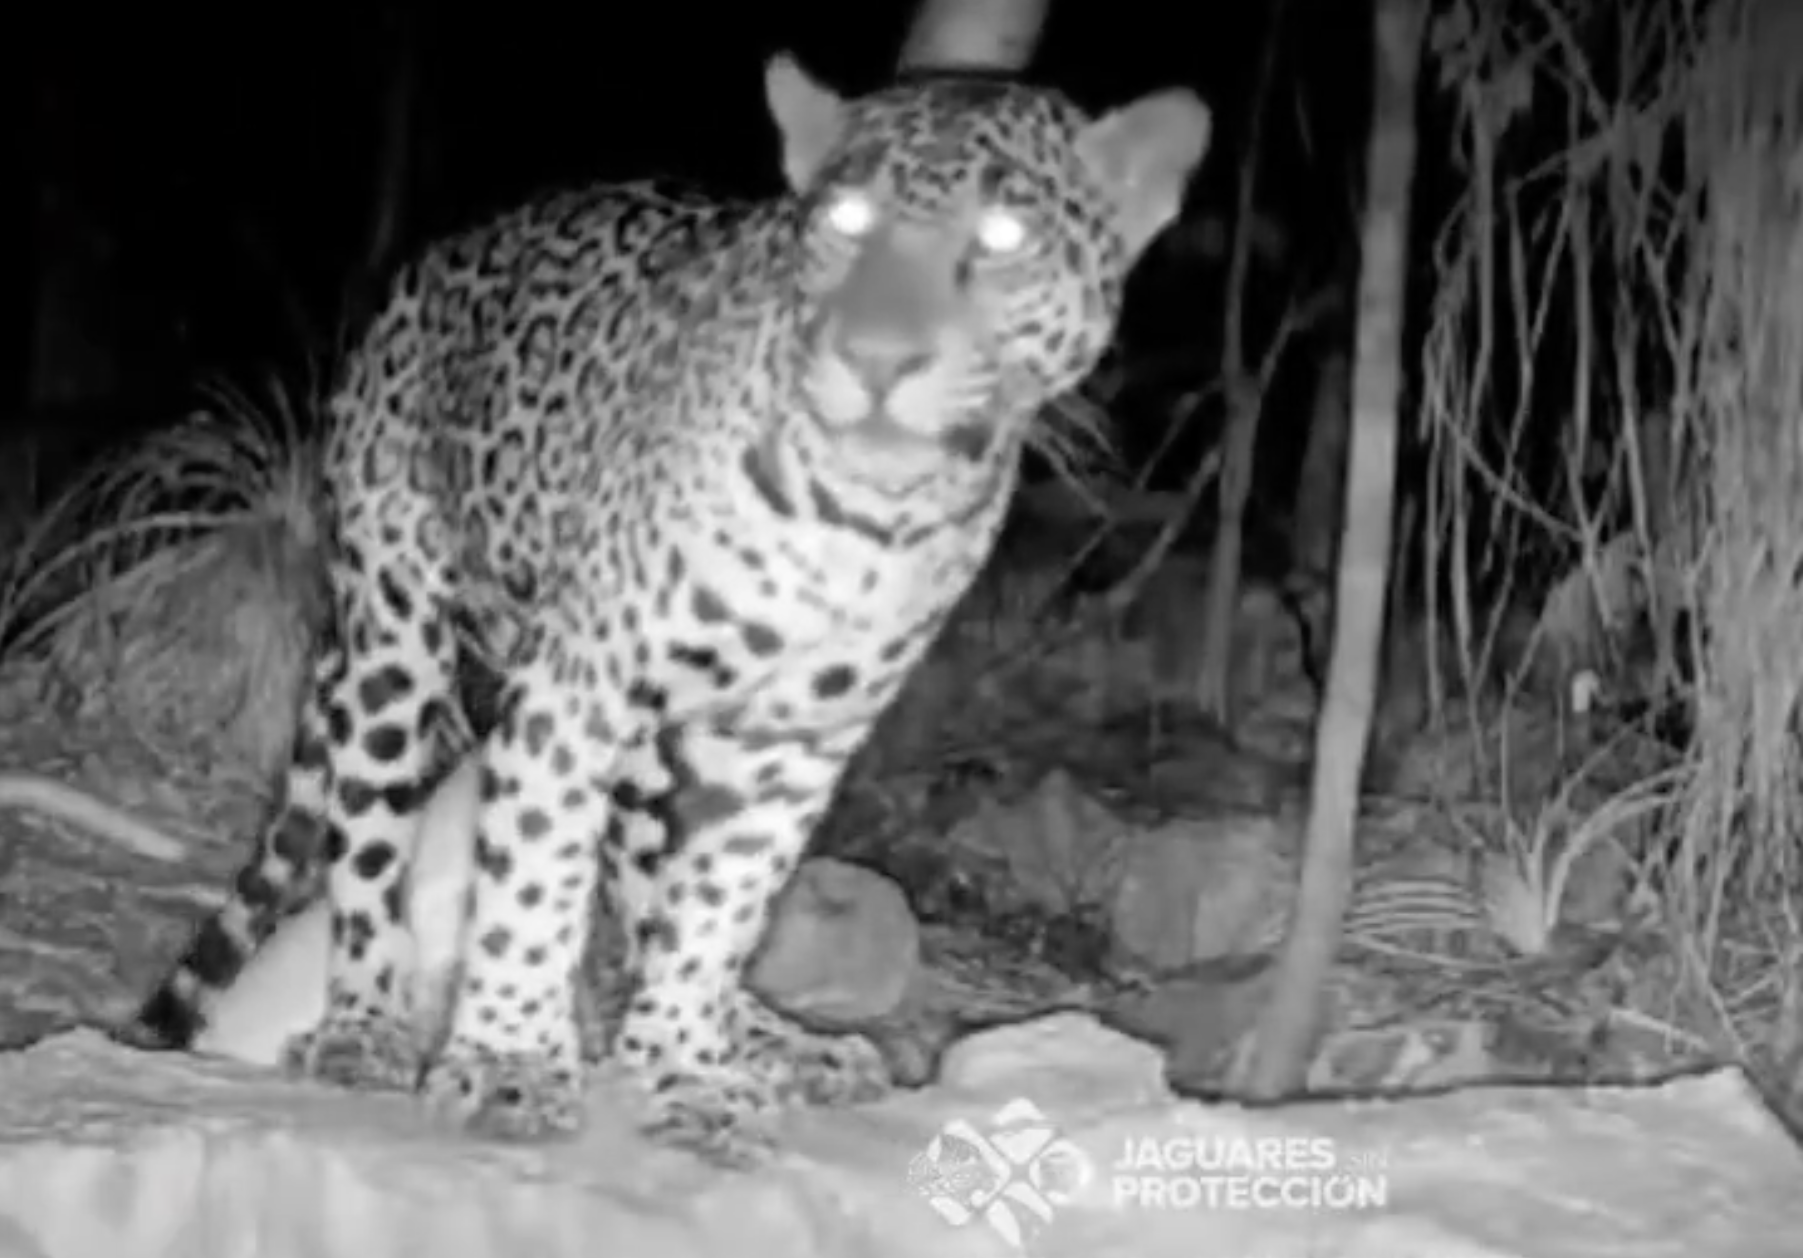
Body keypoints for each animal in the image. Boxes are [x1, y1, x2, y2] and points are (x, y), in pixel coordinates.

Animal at [127, 51, 1211, 1160]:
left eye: (1001, 239)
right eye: (846, 220)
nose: (874, 358)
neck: (864, 519)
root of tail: (424, 273)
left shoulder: (800, 738)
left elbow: (720, 904)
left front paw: (685, 1065)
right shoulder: (577, 686)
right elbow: (533, 876)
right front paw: (510, 1065)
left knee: (648, 880)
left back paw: (773, 1040)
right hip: (395, 631)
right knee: (367, 836)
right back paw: (363, 1022)